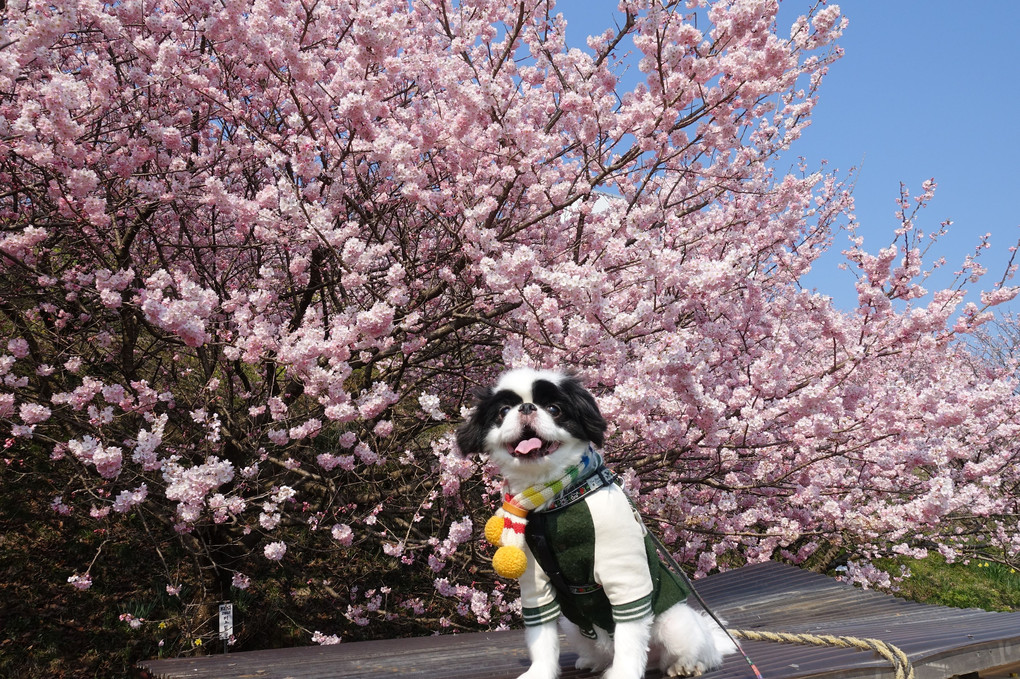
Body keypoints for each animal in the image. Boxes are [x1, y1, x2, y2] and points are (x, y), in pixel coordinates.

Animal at [456, 364, 734, 676]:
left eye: (554, 409)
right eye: (503, 411)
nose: (526, 407)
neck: (551, 498)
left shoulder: (624, 575)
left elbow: (629, 635)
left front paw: (624, 673)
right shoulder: (535, 580)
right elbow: (542, 638)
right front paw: (540, 672)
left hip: (677, 625)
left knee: (702, 651)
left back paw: (686, 665)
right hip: (574, 626)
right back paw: (593, 661)